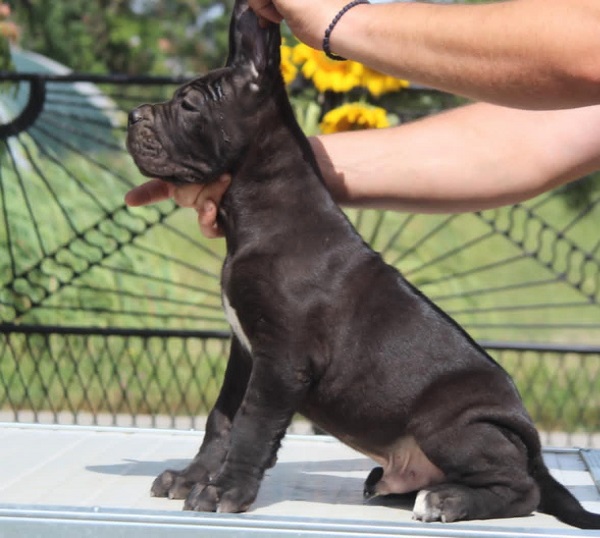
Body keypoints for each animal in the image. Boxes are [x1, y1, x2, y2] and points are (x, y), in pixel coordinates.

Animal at [126, 1, 600, 528]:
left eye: (189, 105)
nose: (131, 115)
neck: (258, 212)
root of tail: (532, 449)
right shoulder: (246, 351)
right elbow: (221, 419)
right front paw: (191, 478)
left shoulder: (282, 359)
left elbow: (251, 425)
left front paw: (224, 491)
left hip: (452, 422)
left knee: (522, 491)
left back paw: (448, 501)